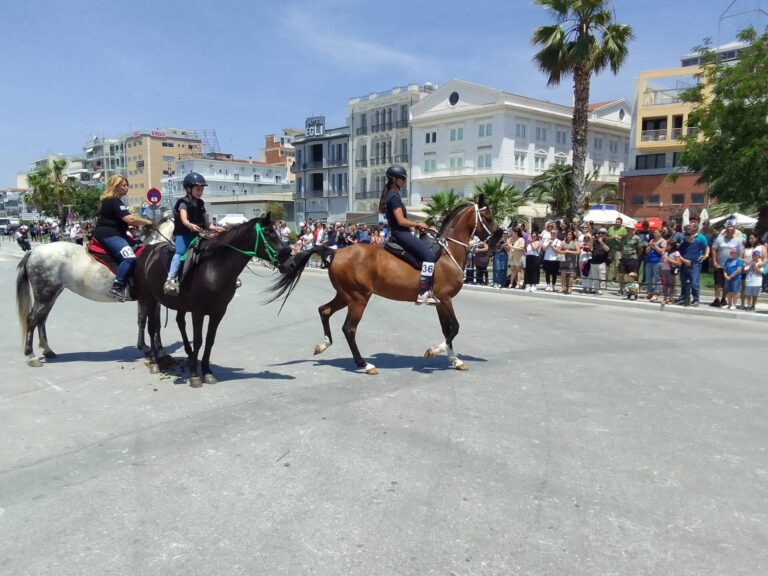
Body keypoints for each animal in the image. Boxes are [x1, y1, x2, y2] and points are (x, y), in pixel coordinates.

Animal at [135, 213, 292, 388]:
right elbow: (198, 340)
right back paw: (155, 361)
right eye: (269, 234)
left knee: (178, 322)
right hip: (149, 298)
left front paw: (207, 371)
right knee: (151, 326)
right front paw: (194, 375)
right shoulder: (197, 311)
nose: (291, 263)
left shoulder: (218, 311)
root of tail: (148, 250)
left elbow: (210, 340)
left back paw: (188, 355)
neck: (215, 267)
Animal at [272, 196, 504, 376]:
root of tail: (336, 251)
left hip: (345, 295)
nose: (499, 242)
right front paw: (434, 351)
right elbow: (454, 328)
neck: (447, 254)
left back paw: (324, 344)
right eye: (488, 217)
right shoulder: (445, 299)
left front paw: (455, 360)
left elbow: (447, 329)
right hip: (358, 298)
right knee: (349, 328)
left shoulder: (439, 302)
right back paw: (364, 364)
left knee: (324, 310)